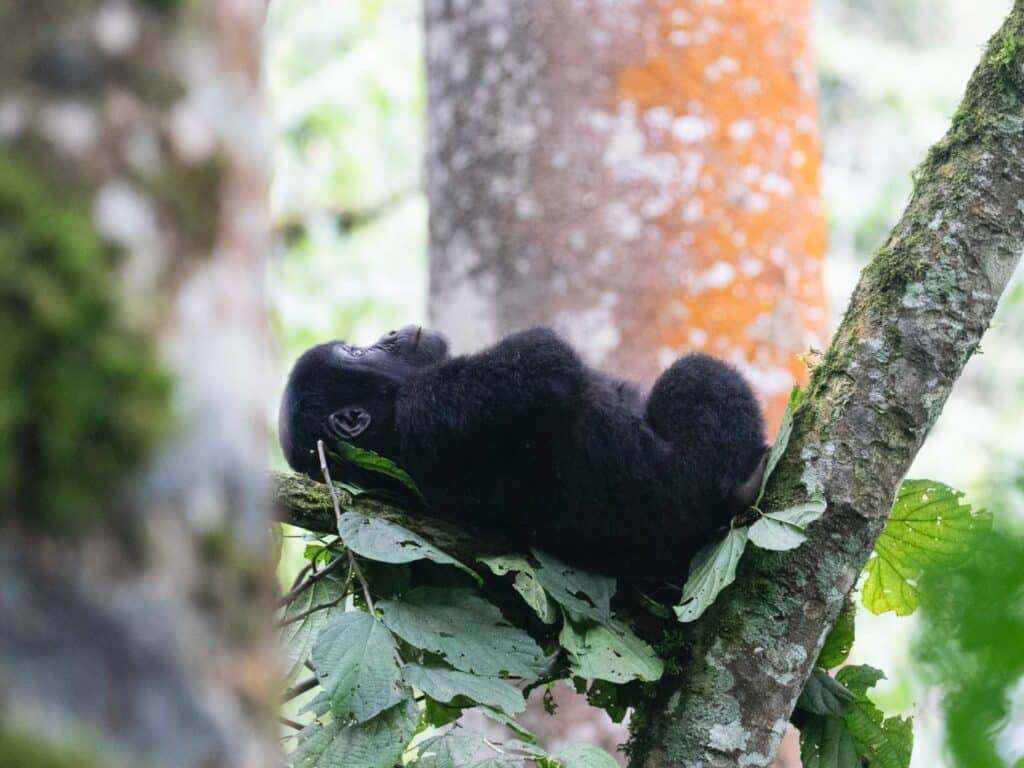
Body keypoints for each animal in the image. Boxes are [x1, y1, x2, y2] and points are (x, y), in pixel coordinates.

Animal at [279, 325, 767, 582]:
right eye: (356, 351)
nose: (393, 332)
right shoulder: (431, 402)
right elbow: (545, 359)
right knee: (696, 374)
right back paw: (746, 483)